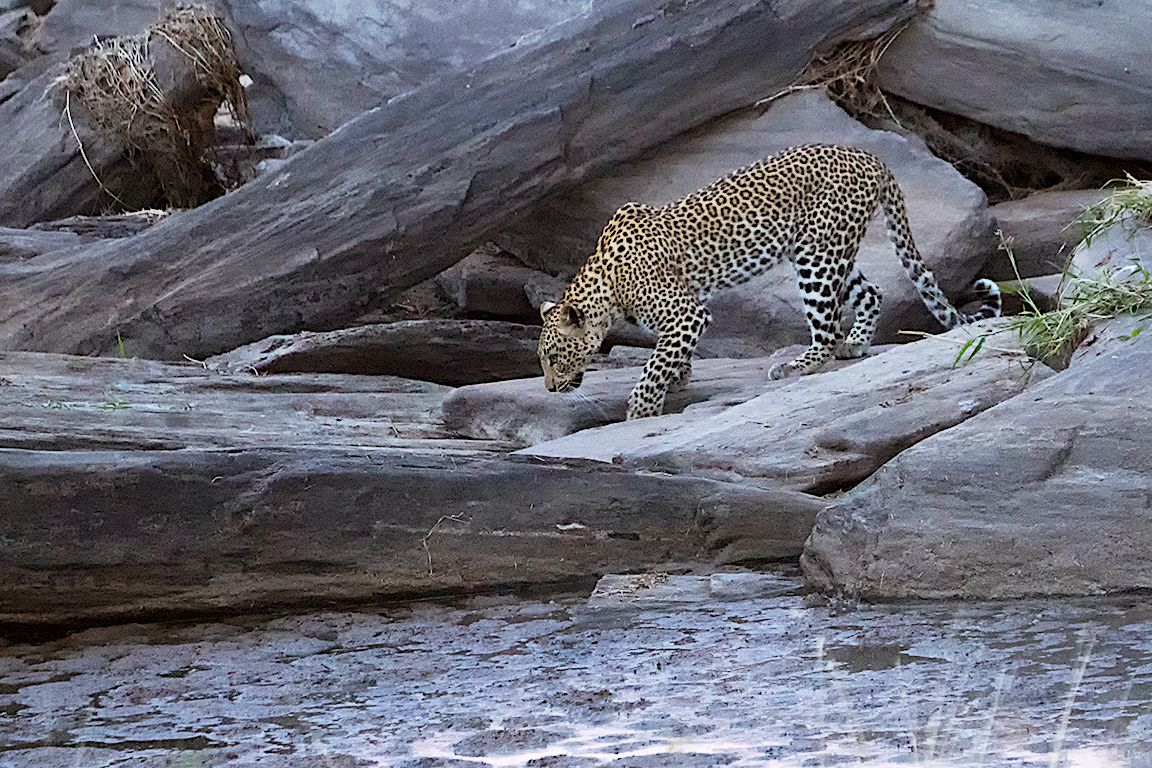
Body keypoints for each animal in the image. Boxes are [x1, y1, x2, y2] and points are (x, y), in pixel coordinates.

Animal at [537, 143, 1001, 420]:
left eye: (555, 358)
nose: (551, 388)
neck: (605, 286)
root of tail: (869, 157)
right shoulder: (686, 310)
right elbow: (666, 354)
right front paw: (680, 376)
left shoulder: (688, 313)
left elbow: (652, 368)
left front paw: (642, 411)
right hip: (827, 249)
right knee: (871, 292)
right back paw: (856, 344)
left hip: (817, 257)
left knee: (826, 331)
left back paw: (796, 364)